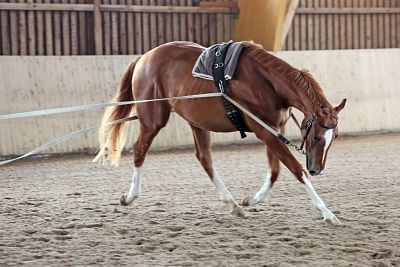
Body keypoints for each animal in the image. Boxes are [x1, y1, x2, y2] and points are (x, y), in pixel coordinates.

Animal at [94, 41, 346, 226]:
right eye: (316, 137)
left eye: (333, 139)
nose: (317, 170)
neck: (265, 82)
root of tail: (143, 58)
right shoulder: (265, 132)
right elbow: (296, 170)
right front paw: (327, 213)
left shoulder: (275, 129)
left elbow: (275, 171)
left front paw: (251, 200)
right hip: (153, 120)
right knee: (139, 151)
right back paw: (129, 197)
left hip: (196, 122)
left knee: (204, 159)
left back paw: (234, 205)